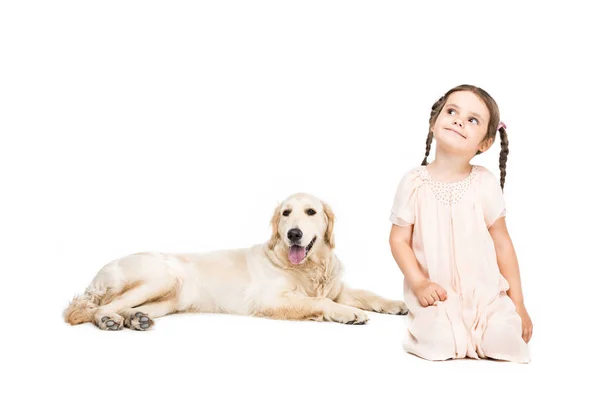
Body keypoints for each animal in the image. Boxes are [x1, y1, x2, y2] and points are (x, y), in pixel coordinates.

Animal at [64, 192, 408, 330]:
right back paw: (109, 321)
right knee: (99, 309)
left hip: (168, 299)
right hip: (161, 276)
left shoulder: (335, 286)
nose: (293, 234)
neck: (308, 268)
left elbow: (365, 293)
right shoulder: (270, 300)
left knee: (125, 307)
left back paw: (135, 320)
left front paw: (396, 304)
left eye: (311, 212)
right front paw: (348, 314)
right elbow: (320, 303)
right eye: (286, 213)